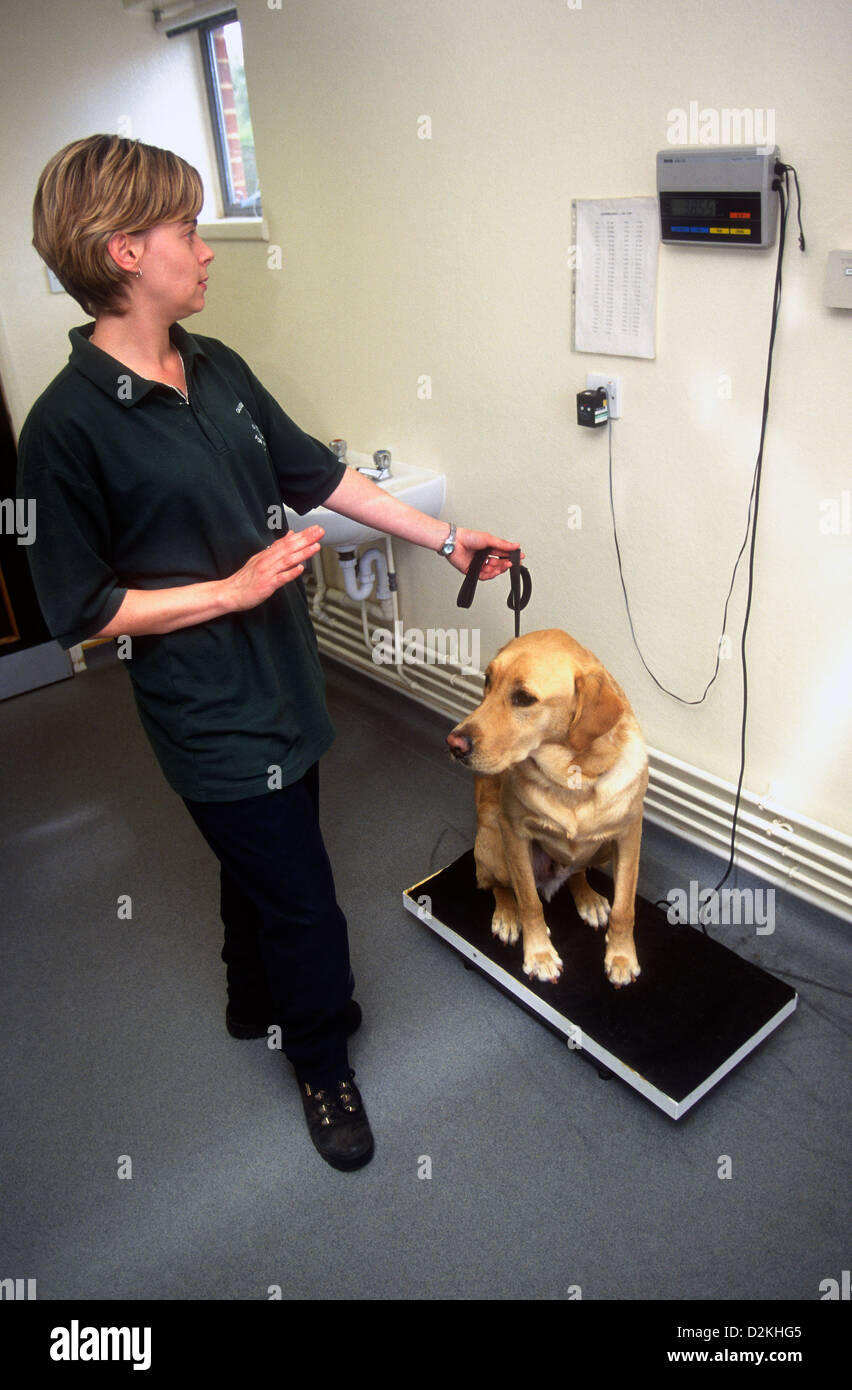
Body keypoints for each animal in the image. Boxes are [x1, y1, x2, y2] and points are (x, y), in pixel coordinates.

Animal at [444, 631, 644, 989]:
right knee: (497, 885)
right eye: (488, 680)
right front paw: (539, 955)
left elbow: (625, 909)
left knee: (577, 872)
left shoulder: (629, 837)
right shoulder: (515, 834)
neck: (574, 779)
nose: (454, 744)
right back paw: (506, 915)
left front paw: (621, 957)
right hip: (494, 840)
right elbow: (529, 902)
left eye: (524, 698)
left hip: (601, 850)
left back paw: (588, 899)